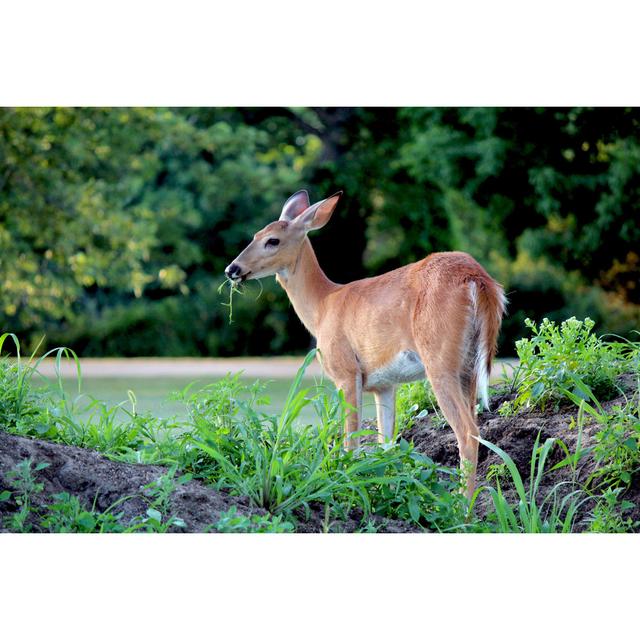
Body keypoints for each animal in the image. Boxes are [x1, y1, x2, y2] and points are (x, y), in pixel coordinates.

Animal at [225, 188, 504, 498]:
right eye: (255, 234)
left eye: (272, 240)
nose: (232, 269)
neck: (322, 307)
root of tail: (478, 279)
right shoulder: (385, 384)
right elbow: (386, 443)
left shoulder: (346, 371)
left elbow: (351, 441)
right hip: (469, 363)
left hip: (440, 358)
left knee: (467, 431)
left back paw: (461, 504)